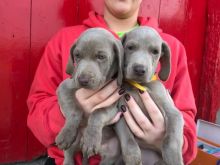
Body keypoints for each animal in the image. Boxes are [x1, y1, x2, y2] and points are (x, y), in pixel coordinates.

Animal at [55, 28, 124, 165]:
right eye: (77, 55)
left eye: (101, 57)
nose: (83, 80)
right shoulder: (64, 88)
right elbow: (75, 110)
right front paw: (67, 133)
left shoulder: (113, 105)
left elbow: (98, 113)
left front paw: (91, 139)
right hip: (74, 142)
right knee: (69, 155)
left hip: (113, 152)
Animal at [114, 26, 185, 165]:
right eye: (130, 47)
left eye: (155, 51)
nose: (139, 69)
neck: (138, 86)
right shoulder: (121, 113)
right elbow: (129, 142)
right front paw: (133, 159)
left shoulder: (173, 113)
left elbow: (171, 140)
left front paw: (173, 157)